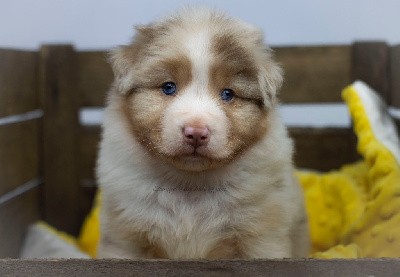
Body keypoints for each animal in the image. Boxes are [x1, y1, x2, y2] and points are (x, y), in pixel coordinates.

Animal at [97, 8, 310, 258]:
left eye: (228, 94)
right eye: (168, 87)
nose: (196, 132)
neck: (191, 185)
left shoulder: (262, 240)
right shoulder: (125, 241)